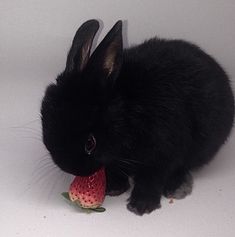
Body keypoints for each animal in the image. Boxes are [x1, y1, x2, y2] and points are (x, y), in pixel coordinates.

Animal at [41, 19, 234, 214]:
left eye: (90, 143)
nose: (72, 169)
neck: (126, 114)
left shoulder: (162, 153)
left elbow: (151, 179)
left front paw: (141, 205)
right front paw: (114, 188)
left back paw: (177, 187)